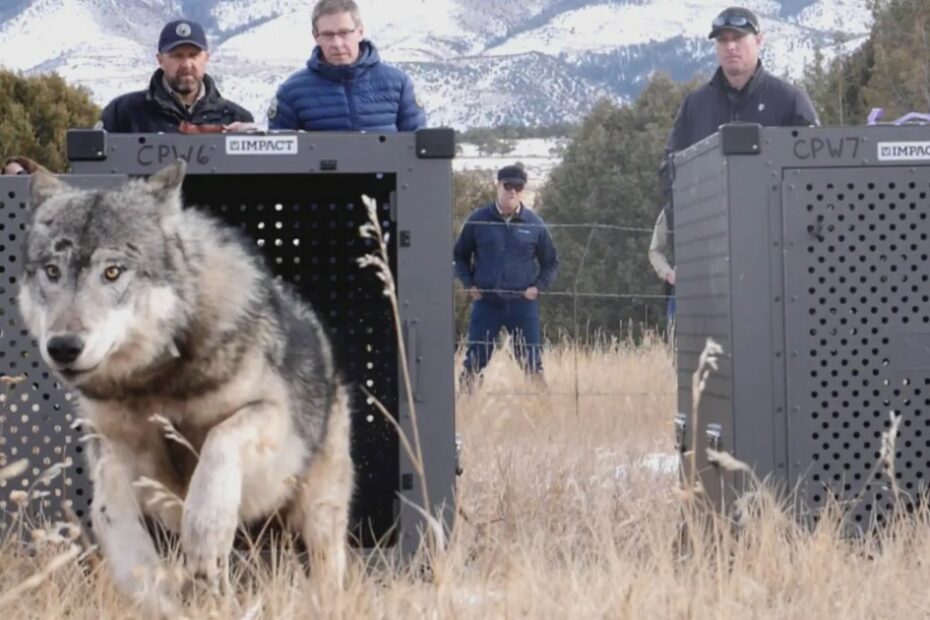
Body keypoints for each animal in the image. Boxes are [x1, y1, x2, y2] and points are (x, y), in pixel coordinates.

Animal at [18, 161, 354, 615]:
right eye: (52, 272)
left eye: (112, 271)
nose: (63, 347)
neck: (157, 382)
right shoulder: (112, 446)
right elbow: (109, 513)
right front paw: (146, 584)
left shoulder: (274, 419)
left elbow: (220, 440)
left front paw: (206, 529)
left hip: (318, 512)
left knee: (326, 569)